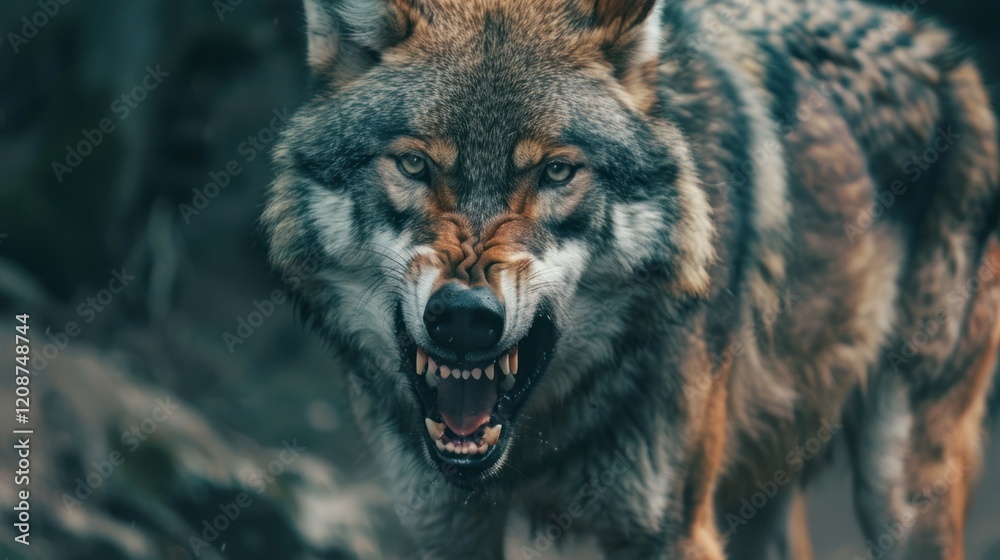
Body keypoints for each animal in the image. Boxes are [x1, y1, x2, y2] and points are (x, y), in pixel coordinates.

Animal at [262, 0, 1000, 557]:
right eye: (414, 165)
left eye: (557, 172)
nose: (465, 317)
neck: (536, 446)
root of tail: (940, 43)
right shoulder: (445, 533)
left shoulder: (672, 533)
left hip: (901, 487)